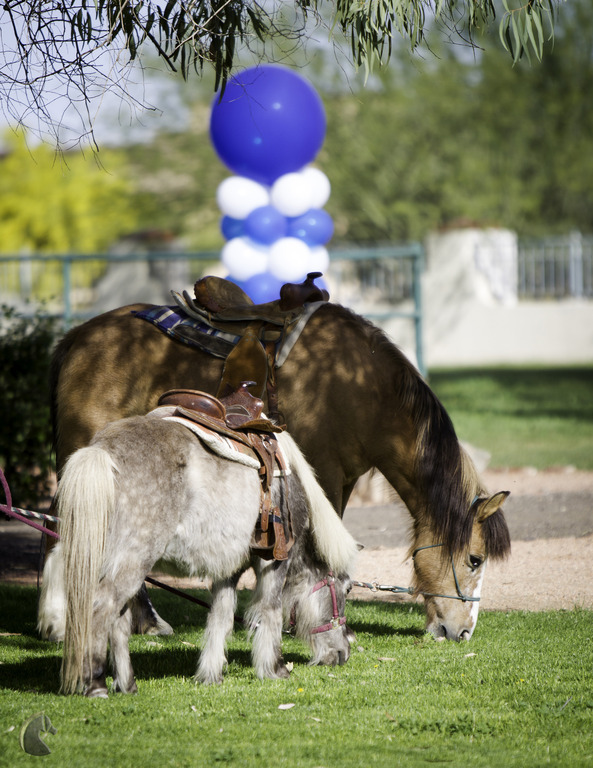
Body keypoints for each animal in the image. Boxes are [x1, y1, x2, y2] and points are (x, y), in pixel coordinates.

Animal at [40, 299, 511, 644]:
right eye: (474, 559)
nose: (462, 632)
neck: (360, 387)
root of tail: (76, 338)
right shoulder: (324, 474)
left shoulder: (343, 478)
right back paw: (66, 621)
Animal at [57, 409, 358, 697]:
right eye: (347, 589)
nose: (344, 653)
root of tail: (103, 451)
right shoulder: (274, 563)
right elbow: (270, 611)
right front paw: (275, 668)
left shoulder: (228, 570)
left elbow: (220, 618)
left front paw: (211, 674)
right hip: (133, 562)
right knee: (100, 610)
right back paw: (97, 685)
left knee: (118, 622)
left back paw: (127, 685)